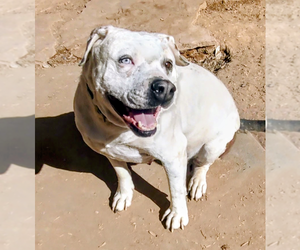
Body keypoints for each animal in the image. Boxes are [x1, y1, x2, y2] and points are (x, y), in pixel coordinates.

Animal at [73, 26, 239, 231]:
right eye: (125, 60)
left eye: (168, 64)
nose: (166, 88)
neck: (116, 128)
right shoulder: (109, 152)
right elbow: (122, 173)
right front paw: (124, 194)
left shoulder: (173, 155)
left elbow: (176, 189)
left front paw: (177, 214)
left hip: (212, 145)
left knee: (203, 164)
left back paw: (197, 182)